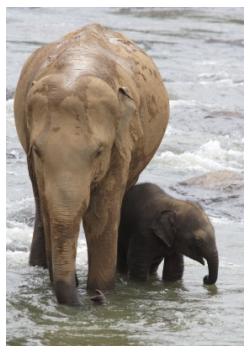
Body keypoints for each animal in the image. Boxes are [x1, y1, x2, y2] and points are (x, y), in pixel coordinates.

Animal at [14, 23, 170, 304]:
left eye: (98, 152)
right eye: (38, 151)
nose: (95, 300)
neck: (77, 67)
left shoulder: (121, 143)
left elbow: (101, 215)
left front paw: (101, 290)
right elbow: (49, 205)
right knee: (40, 203)